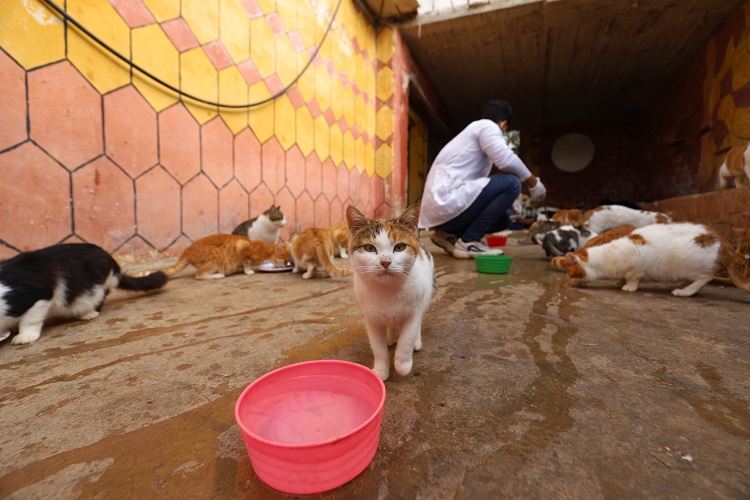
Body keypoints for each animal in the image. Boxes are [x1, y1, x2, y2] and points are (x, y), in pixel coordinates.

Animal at [0, 244, 167, 346]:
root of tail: (111, 261)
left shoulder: (40, 294)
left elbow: (29, 320)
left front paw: (25, 336)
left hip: (96, 288)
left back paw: (89, 313)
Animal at [159, 235, 290, 282]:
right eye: (286, 260)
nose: (287, 265)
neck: (263, 250)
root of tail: (187, 250)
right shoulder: (241, 247)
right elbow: (247, 264)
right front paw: (249, 271)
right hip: (213, 262)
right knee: (199, 275)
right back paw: (218, 275)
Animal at [346, 203, 438, 382]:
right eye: (369, 248)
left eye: (399, 247)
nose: (385, 262)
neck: (387, 291)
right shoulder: (371, 319)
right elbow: (378, 348)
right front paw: (381, 370)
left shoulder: (412, 314)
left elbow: (405, 340)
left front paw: (403, 365)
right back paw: (390, 337)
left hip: (424, 298)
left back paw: (416, 341)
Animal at [564, 223, 750, 296]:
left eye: (569, 273)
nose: (569, 283)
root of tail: (724, 242)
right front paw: (618, 282)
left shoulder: (636, 270)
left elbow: (632, 279)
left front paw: (628, 287)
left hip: (690, 264)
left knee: (705, 278)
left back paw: (683, 291)